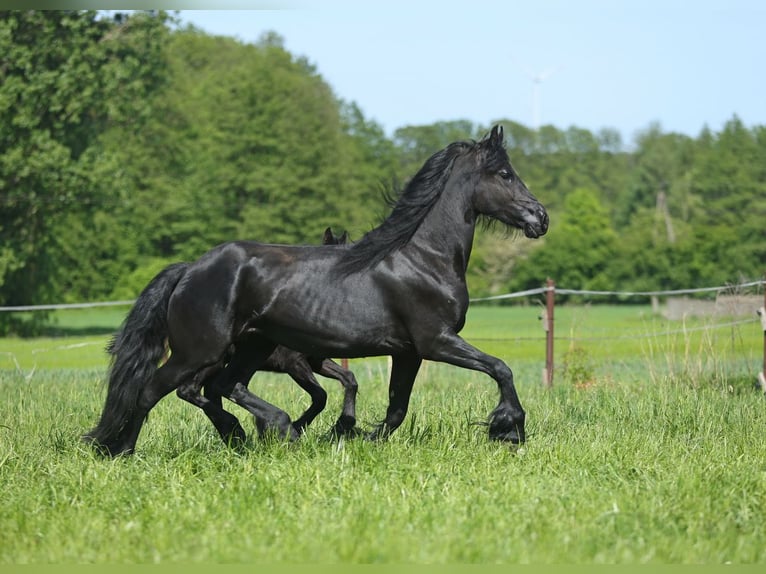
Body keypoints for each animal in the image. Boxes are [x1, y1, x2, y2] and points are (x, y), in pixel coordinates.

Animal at [84, 127, 552, 460]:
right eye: (505, 174)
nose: (540, 218)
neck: (422, 258)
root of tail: (190, 270)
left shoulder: (408, 352)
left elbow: (396, 409)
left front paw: (353, 436)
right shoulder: (436, 342)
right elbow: (501, 368)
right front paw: (509, 429)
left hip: (252, 346)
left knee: (223, 387)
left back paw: (257, 433)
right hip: (198, 351)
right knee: (156, 391)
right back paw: (126, 452)